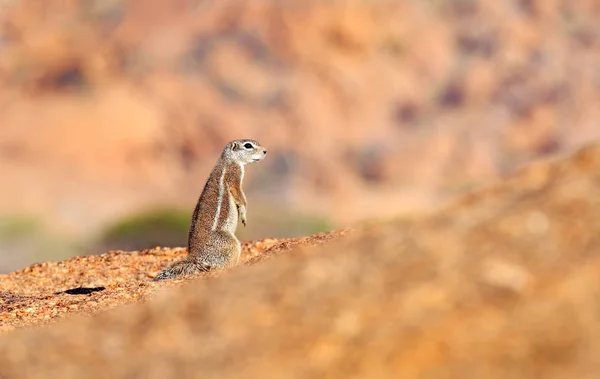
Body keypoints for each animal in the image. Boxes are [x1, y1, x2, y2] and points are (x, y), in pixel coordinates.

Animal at [155, 140, 268, 282]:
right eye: (248, 145)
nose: (265, 151)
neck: (228, 160)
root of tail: (196, 258)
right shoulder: (234, 175)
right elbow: (240, 196)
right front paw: (243, 214)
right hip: (231, 243)